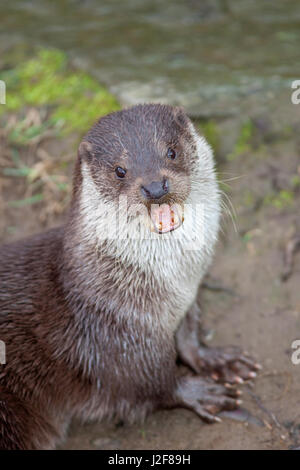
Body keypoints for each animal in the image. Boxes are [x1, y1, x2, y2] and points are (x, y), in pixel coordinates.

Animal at [0, 104, 258, 450]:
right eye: (119, 170)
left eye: (172, 151)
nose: (155, 187)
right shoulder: (117, 332)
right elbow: (153, 382)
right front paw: (199, 392)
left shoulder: (188, 299)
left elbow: (189, 337)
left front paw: (217, 361)